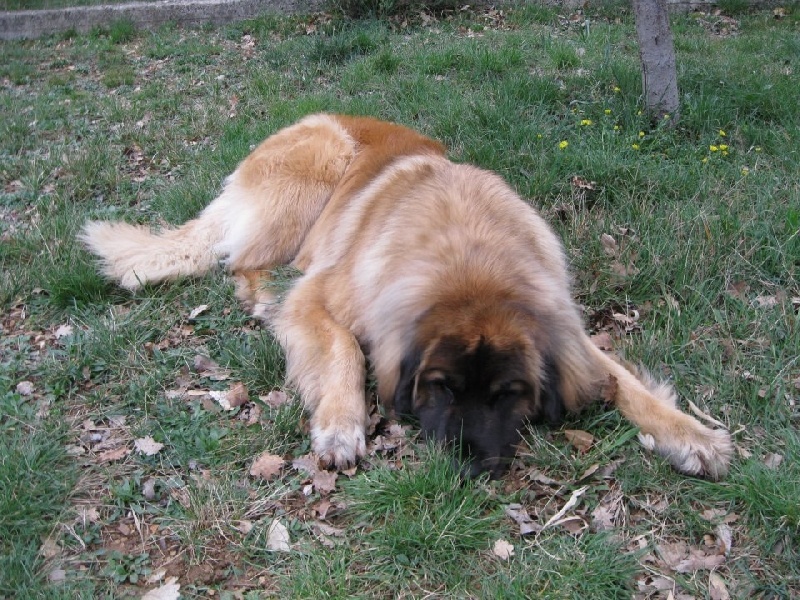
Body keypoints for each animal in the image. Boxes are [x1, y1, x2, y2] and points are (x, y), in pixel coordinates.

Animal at [80, 114, 733, 478]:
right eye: (438, 387)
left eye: (510, 394)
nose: (467, 466)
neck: (468, 259)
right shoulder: (323, 298)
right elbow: (342, 350)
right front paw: (341, 426)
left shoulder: (561, 323)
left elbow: (620, 378)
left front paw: (691, 436)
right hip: (318, 166)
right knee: (242, 262)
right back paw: (263, 292)